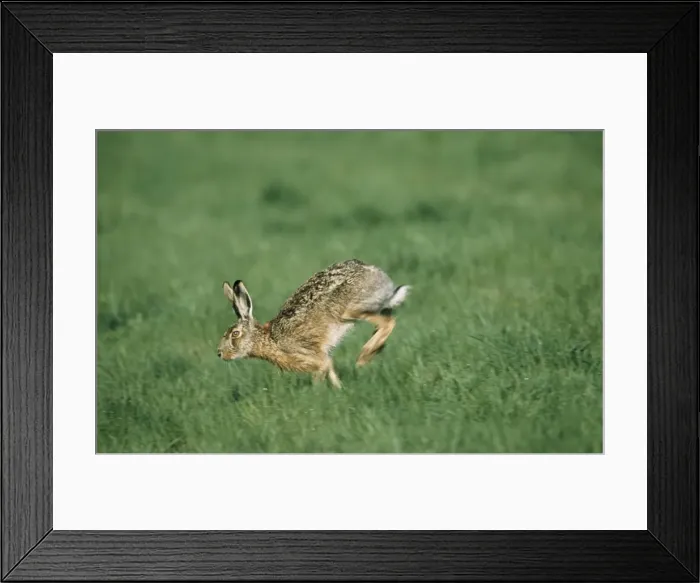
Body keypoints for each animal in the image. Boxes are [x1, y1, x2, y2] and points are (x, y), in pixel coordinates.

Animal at [217, 258, 410, 388]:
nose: (219, 353)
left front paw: (318, 393)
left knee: (388, 322)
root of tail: (383, 279)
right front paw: (339, 390)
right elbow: (330, 368)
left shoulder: (309, 356)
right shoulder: (323, 356)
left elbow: (322, 370)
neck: (268, 338)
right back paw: (375, 350)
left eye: (235, 333)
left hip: (349, 310)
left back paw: (364, 356)